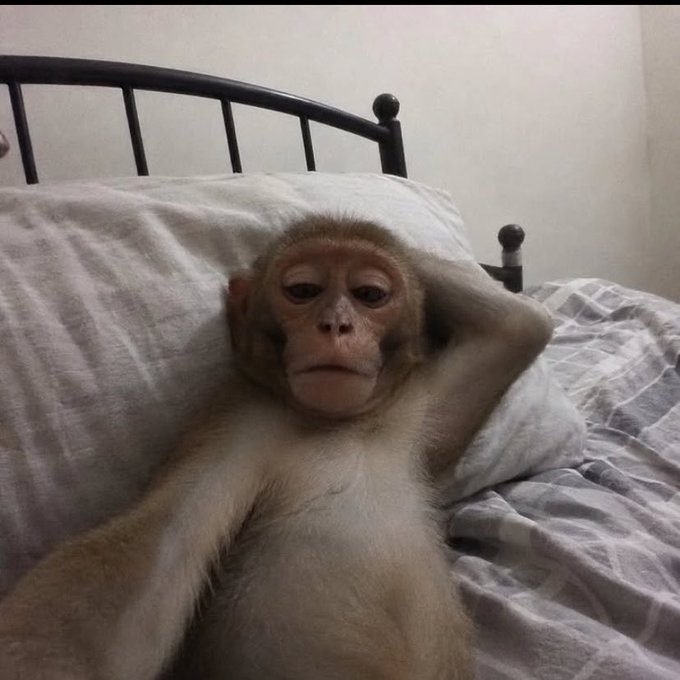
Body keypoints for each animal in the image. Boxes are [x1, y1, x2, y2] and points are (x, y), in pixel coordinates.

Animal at [0, 215, 553, 680]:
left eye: (369, 294)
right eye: (303, 290)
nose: (336, 324)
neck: (330, 423)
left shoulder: (413, 409)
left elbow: (521, 325)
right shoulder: (236, 423)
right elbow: (152, 560)